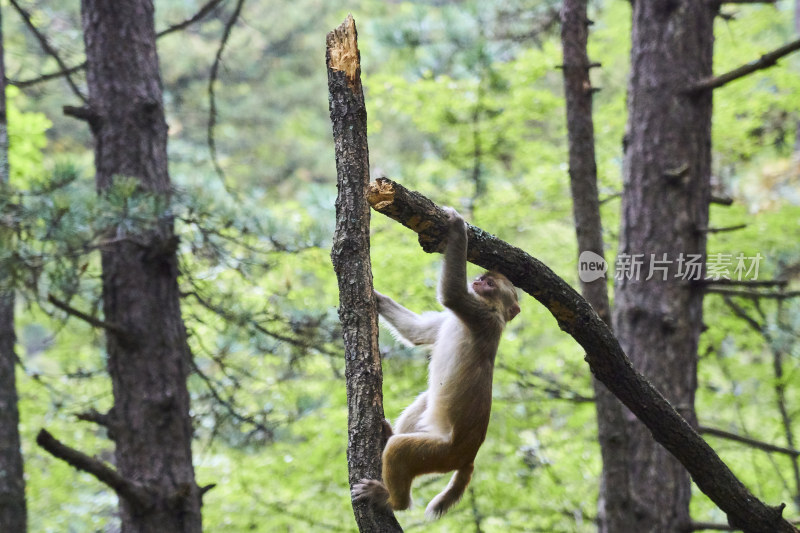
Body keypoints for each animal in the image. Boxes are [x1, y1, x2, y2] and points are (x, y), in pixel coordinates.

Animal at [354, 206, 520, 516]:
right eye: (483, 278)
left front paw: (457, 226)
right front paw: (375, 296)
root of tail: (468, 458)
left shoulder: (481, 315)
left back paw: (392, 500)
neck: (491, 308)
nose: (477, 282)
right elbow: (418, 332)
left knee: (401, 451)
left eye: (490, 284)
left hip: (438, 454)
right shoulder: (458, 318)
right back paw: (387, 435)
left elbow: (452, 295)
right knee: (424, 403)